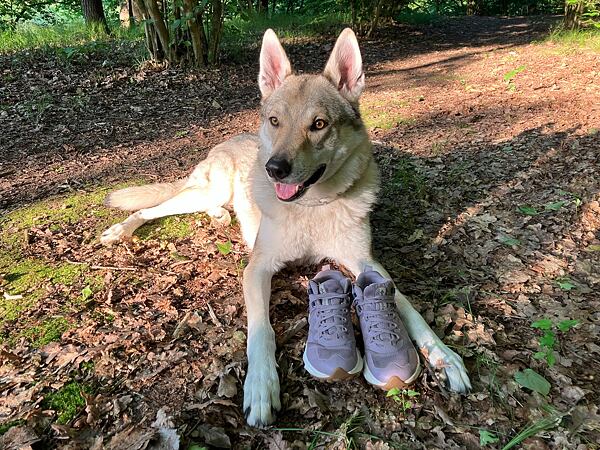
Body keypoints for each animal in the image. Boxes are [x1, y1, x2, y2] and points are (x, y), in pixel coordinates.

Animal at [101, 27, 472, 426]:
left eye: (319, 124)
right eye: (275, 121)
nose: (274, 169)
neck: (311, 208)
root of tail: (229, 139)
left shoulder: (367, 264)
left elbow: (409, 308)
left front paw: (444, 357)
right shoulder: (257, 269)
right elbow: (260, 331)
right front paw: (261, 385)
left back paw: (218, 217)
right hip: (204, 192)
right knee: (152, 209)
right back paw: (121, 230)